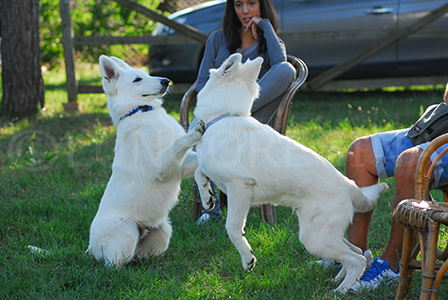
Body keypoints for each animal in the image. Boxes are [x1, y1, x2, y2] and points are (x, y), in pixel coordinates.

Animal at [87, 56, 205, 268]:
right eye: (137, 79)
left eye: (147, 75)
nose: (166, 81)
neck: (141, 111)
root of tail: (90, 249)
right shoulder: (162, 167)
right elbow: (179, 143)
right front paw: (195, 132)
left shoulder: (179, 168)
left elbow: (199, 160)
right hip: (127, 230)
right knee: (113, 265)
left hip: (164, 231)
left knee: (138, 258)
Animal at [193, 52, 388, 292]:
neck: (225, 116)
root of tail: (349, 186)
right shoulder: (211, 168)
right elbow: (199, 172)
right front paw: (207, 198)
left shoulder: (240, 188)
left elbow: (232, 228)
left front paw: (247, 258)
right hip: (325, 234)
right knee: (358, 252)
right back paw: (339, 280)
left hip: (314, 238)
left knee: (357, 259)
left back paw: (341, 290)